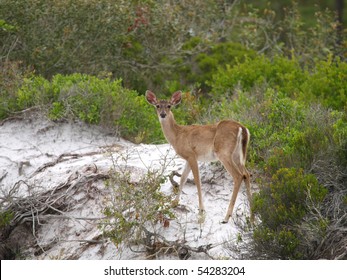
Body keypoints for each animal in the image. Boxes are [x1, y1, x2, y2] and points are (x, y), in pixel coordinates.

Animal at [145, 91, 254, 224]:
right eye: (157, 106)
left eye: (169, 106)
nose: (163, 114)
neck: (177, 135)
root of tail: (242, 128)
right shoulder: (188, 158)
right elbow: (183, 179)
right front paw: (174, 203)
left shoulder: (192, 155)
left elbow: (197, 180)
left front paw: (201, 210)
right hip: (238, 155)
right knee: (246, 174)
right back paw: (252, 217)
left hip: (224, 152)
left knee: (238, 176)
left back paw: (226, 217)